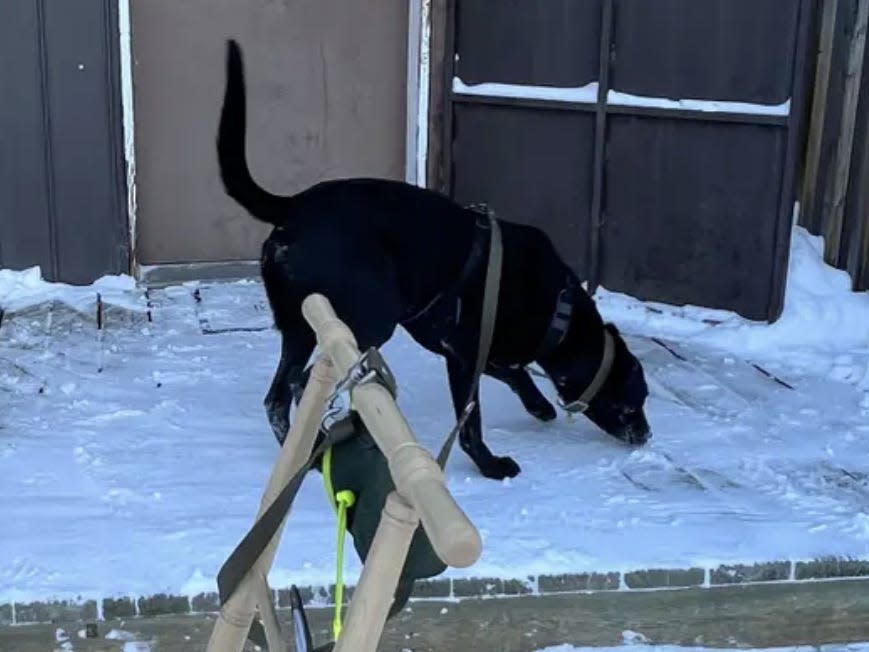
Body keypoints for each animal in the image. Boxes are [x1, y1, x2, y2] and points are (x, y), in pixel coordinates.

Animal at [220, 39, 648, 478]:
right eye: (636, 399)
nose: (646, 434)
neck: (558, 308)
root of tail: (293, 208)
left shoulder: (468, 348)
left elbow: (512, 373)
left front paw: (539, 405)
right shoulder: (465, 355)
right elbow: (471, 420)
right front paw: (491, 465)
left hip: (301, 327)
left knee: (277, 397)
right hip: (367, 322)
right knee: (304, 383)